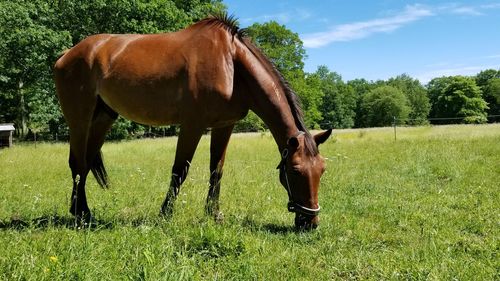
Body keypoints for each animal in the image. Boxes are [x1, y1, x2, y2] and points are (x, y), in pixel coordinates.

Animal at [53, 13, 332, 229]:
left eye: (321, 169)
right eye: (295, 170)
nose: (310, 222)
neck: (231, 63)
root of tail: (68, 54)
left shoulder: (224, 126)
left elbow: (216, 171)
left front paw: (214, 214)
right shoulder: (192, 125)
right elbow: (179, 171)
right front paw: (165, 215)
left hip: (103, 118)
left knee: (85, 163)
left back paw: (80, 211)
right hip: (79, 119)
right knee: (77, 163)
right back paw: (82, 215)